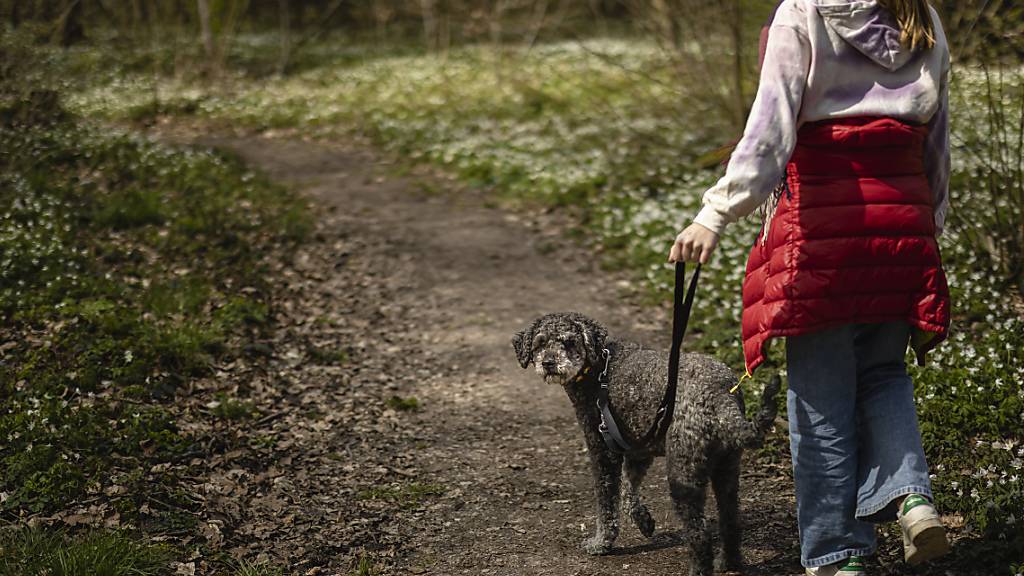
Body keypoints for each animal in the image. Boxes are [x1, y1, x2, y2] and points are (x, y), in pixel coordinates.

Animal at [507, 311, 778, 573]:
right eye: (540, 343)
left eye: (569, 342)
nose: (548, 363)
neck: (599, 369)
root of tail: (722, 397)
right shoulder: (639, 450)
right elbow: (629, 491)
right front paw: (644, 521)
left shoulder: (602, 451)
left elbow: (607, 504)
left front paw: (601, 543)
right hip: (727, 470)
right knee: (731, 521)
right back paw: (728, 563)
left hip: (684, 474)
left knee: (699, 535)